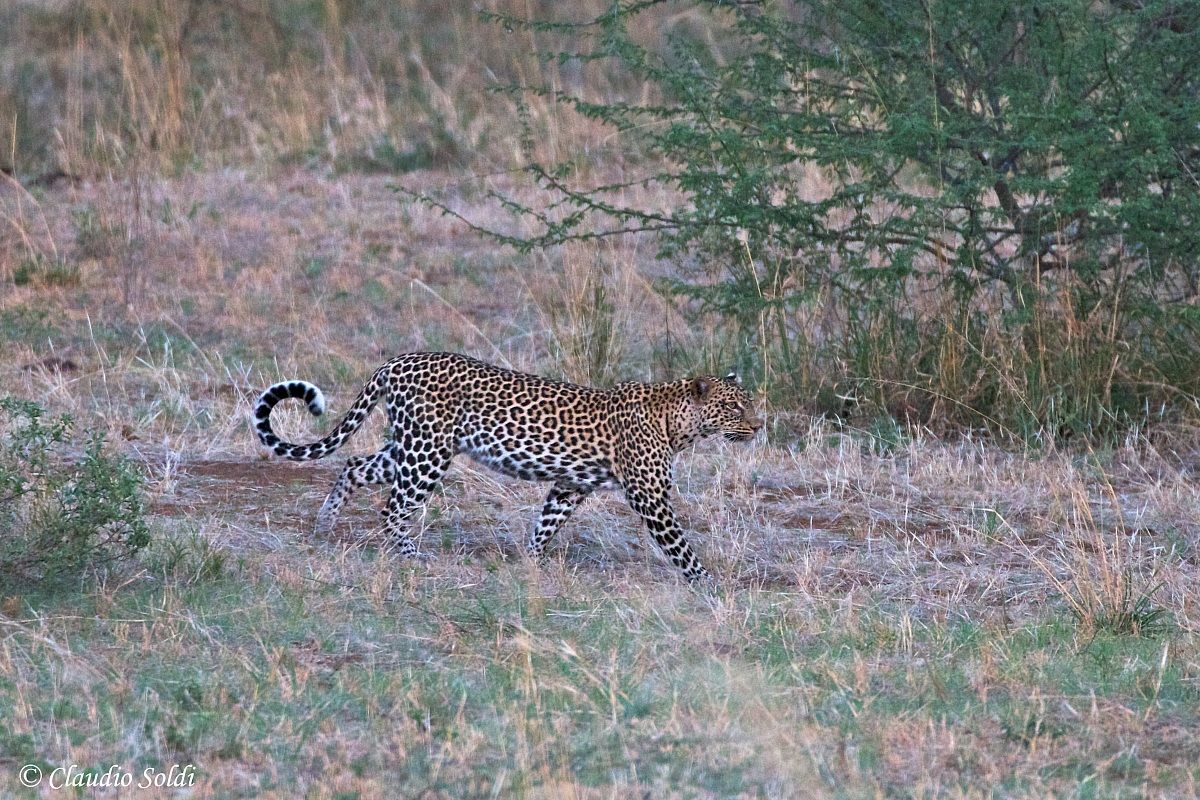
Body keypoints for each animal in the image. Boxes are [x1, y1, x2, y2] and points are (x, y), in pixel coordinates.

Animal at [251, 351, 762, 582]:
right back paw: (414, 558)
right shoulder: (650, 497)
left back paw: (324, 526)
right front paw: (709, 586)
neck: (679, 422)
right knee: (393, 508)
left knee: (354, 465)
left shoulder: (569, 486)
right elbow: (682, 549)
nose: (759, 425)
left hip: (410, 445)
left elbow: (546, 526)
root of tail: (396, 361)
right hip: (428, 451)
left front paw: (529, 565)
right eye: (736, 407)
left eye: (750, 403)